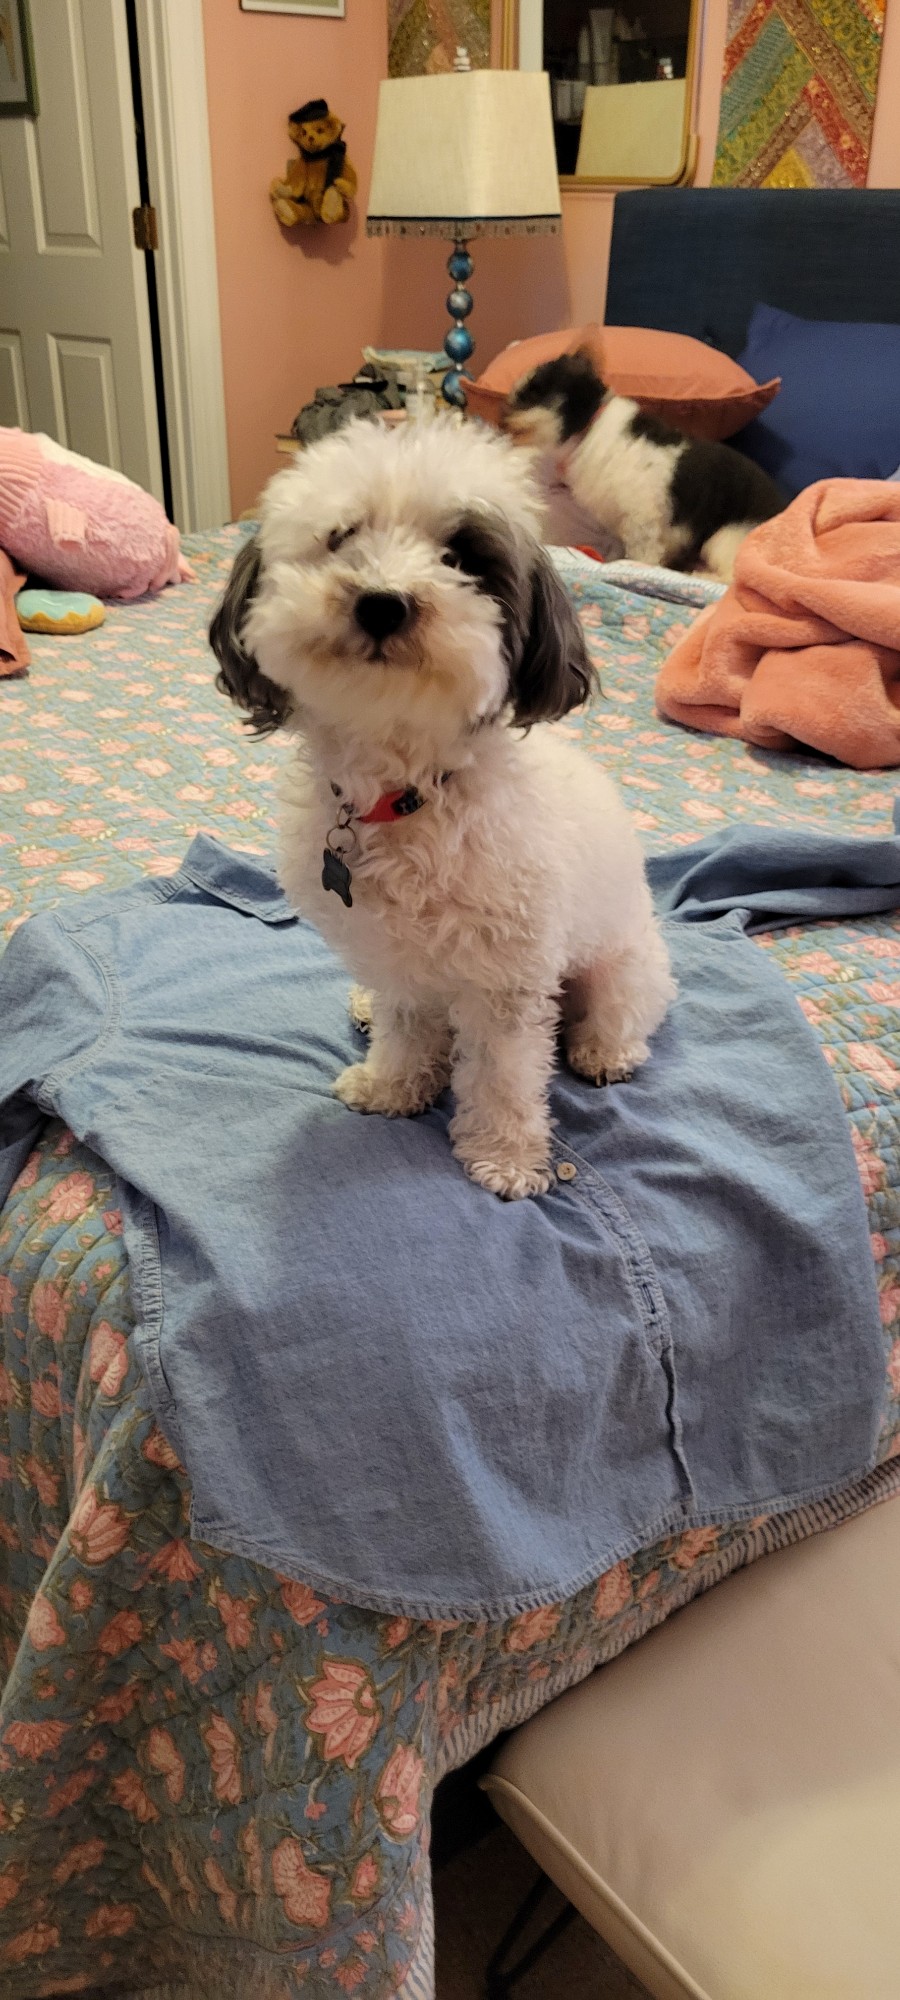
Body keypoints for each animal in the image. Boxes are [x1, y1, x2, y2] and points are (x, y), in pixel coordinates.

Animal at [210, 417, 675, 1200]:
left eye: (461, 557)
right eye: (342, 537)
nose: (382, 601)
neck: (405, 795)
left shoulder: (508, 981)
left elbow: (505, 1074)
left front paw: (507, 1156)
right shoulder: (396, 956)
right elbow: (405, 1026)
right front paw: (394, 1086)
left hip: (618, 966)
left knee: (623, 1013)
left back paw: (605, 1050)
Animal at [503, 349, 785, 582]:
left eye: (533, 392)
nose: (503, 417)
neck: (589, 430)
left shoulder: (643, 521)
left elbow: (642, 556)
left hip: (723, 540)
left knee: (729, 577)